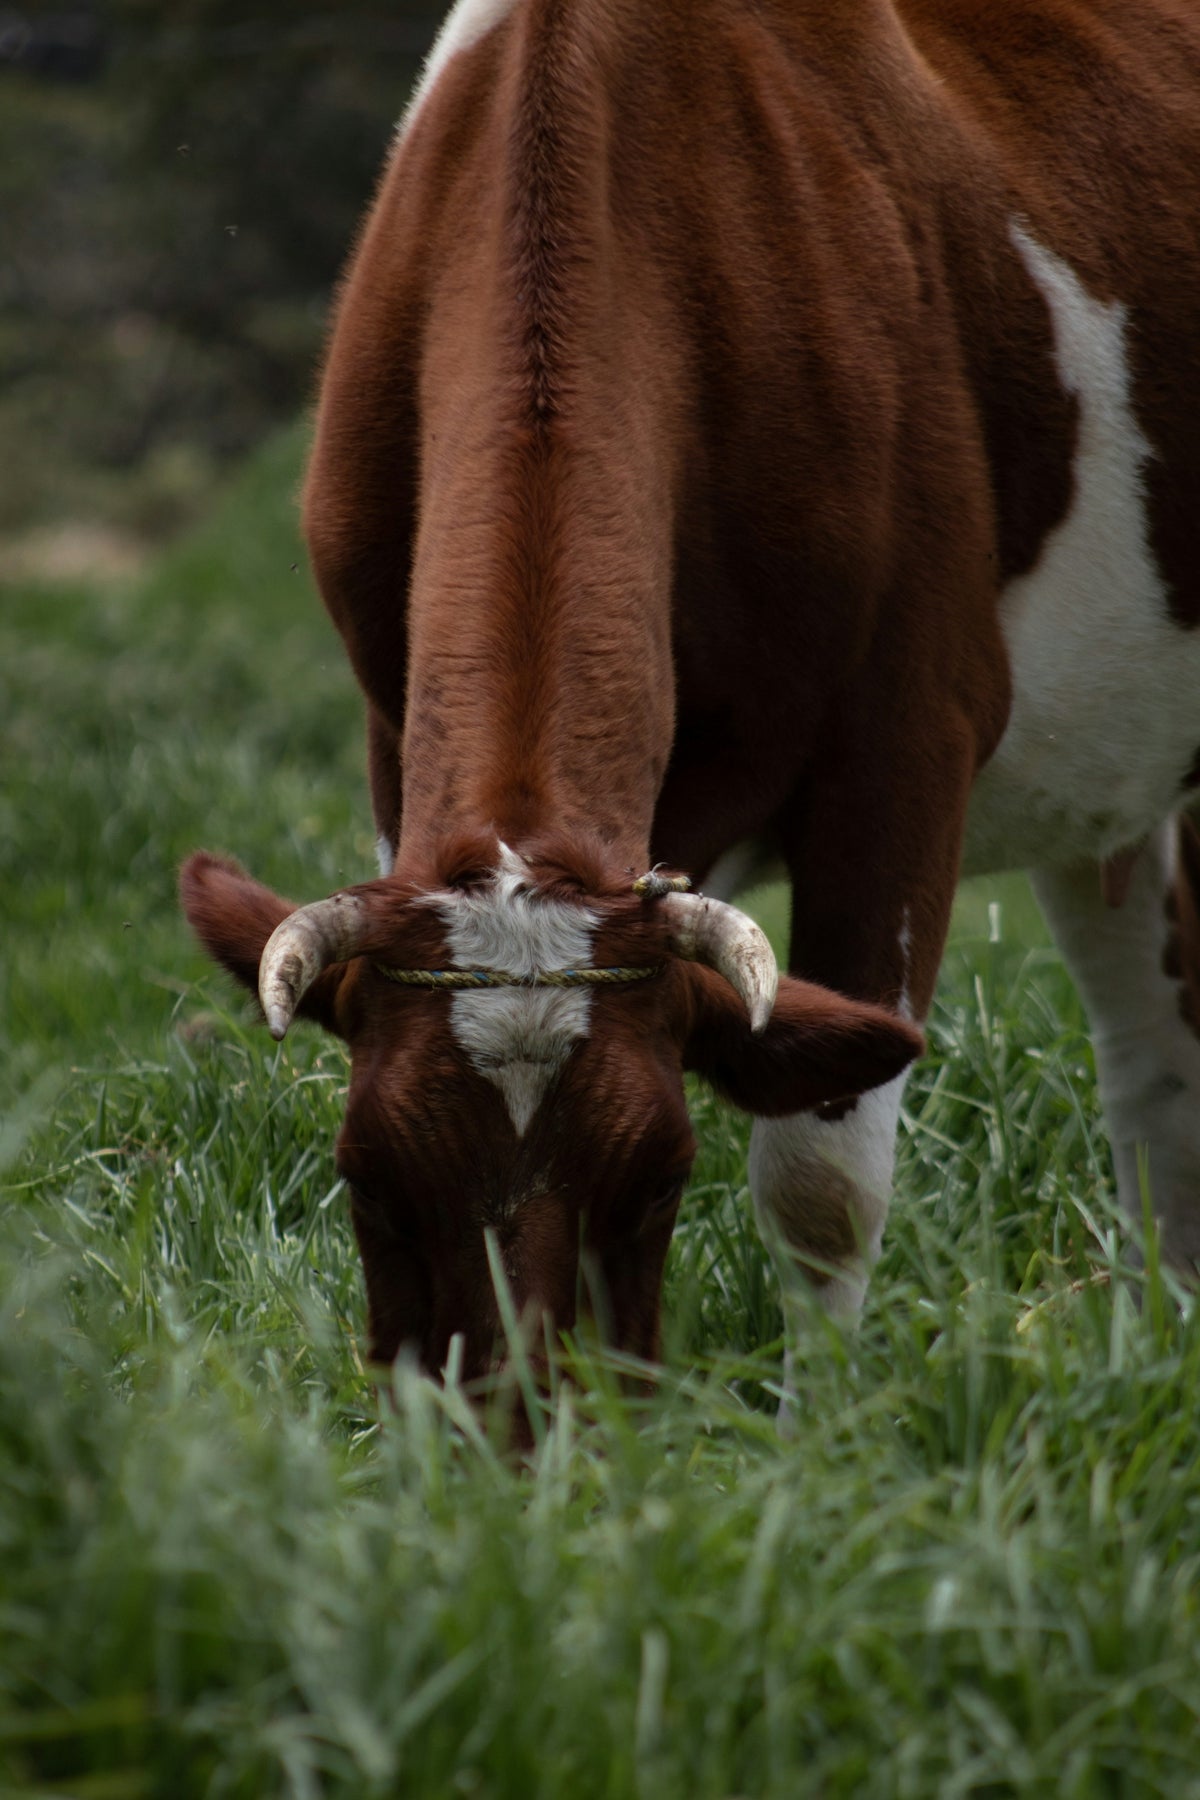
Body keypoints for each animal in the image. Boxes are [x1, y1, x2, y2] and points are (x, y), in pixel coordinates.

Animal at [182, 0, 1200, 1425]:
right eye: (366, 1181)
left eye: (660, 1179)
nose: (522, 1443)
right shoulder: (391, 739)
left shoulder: (907, 742)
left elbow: (824, 1181)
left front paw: (818, 1437)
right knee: (1152, 1044)